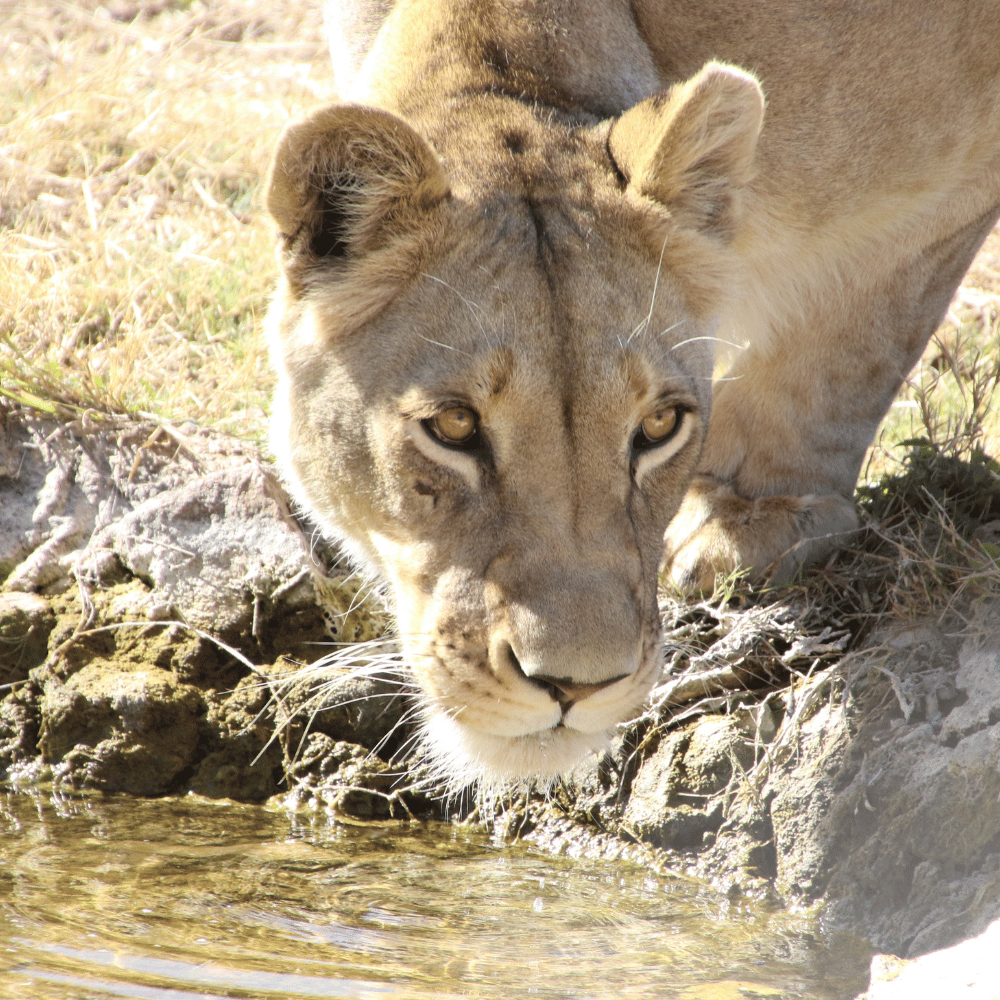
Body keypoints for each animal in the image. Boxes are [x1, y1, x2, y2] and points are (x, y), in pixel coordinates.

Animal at [264, 0, 1000, 785]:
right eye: (456, 426)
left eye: (658, 426)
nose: (574, 686)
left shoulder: (943, 186)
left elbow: (848, 345)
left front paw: (747, 519)